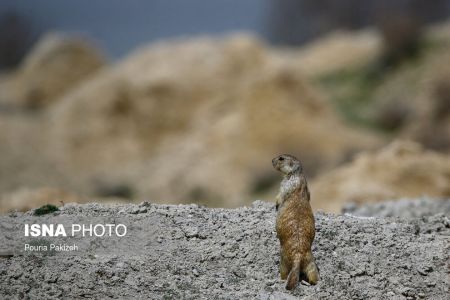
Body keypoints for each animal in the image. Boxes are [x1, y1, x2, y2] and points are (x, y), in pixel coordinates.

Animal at [270, 154, 320, 290]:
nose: (271, 160)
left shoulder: (286, 184)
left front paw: (276, 203)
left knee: (284, 273)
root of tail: (298, 256)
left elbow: (280, 194)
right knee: (313, 275)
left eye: (281, 158)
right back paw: (311, 282)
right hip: (310, 261)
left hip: (283, 259)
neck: (297, 174)